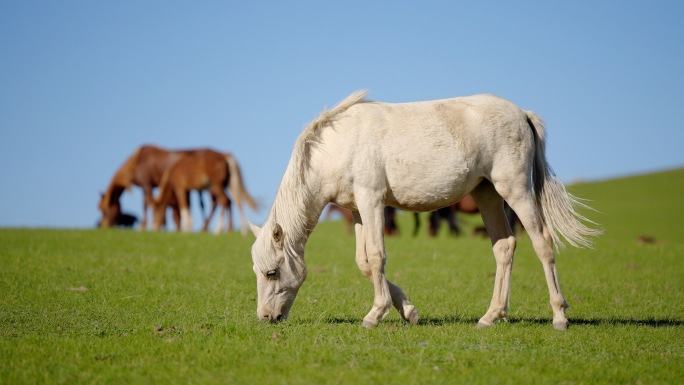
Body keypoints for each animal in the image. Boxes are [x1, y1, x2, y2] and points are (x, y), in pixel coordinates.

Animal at [250, 89, 600, 328]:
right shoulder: (359, 210)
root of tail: (522, 113)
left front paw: (375, 314)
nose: (265, 317)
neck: (337, 145)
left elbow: (376, 257)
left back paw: (559, 316)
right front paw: (408, 311)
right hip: (487, 194)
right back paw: (491, 316)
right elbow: (364, 262)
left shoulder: (372, 200)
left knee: (543, 244)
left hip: (514, 190)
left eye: (271, 272)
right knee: (505, 246)